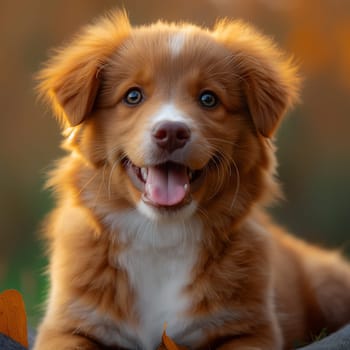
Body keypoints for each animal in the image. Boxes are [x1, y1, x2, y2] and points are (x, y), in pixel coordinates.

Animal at [32, 10, 350, 350]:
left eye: (208, 99)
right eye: (133, 96)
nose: (171, 132)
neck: (161, 234)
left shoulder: (250, 329)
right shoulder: (68, 325)